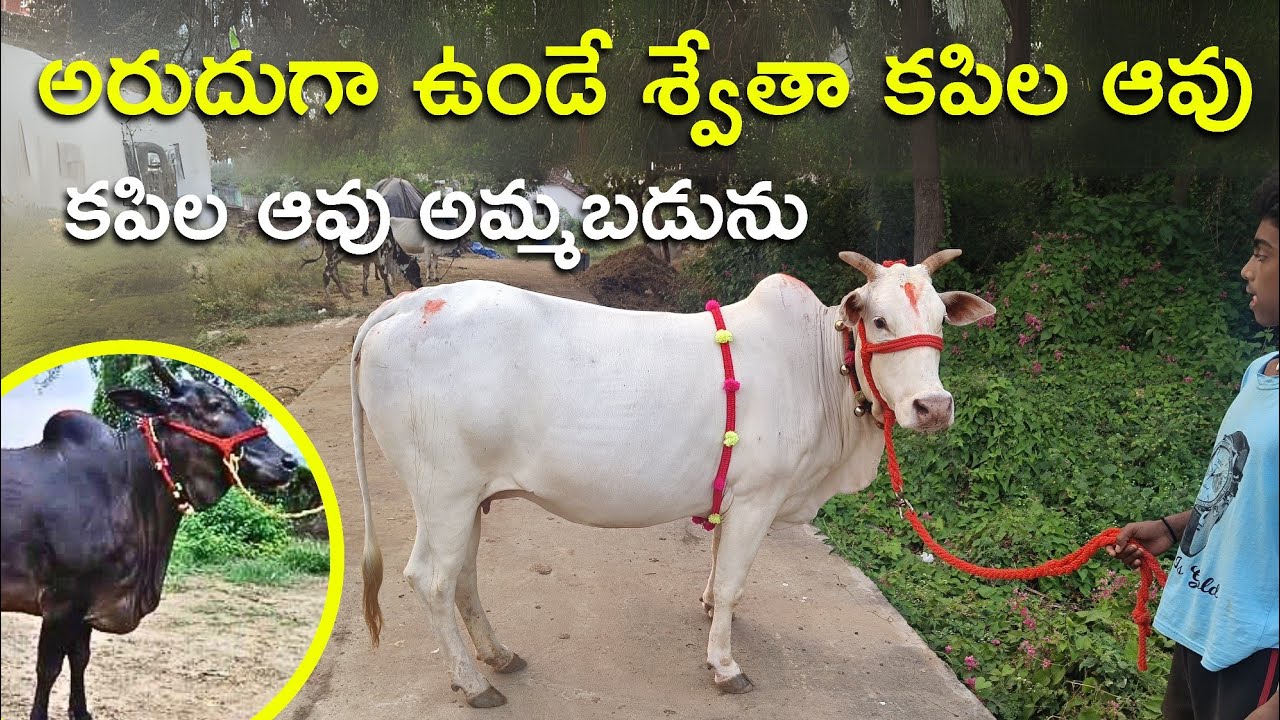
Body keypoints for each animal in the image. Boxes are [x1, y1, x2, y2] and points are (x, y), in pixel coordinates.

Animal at [0, 357, 299, 720]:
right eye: (215, 405)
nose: (289, 462)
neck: (129, 483)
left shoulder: (89, 600)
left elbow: (80, 660)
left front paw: (82, 712)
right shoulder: (61, 602)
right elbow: (49, 669)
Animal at [348, 249, 996, 708]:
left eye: (941, 319)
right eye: (880, 321)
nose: (933, 407)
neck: (817, 368)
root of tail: (410, 303)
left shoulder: (735, 495)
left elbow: (719, 570)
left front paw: (710, 612)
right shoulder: (759, 497)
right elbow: (734, 583)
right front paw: (726, 666)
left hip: (467, 499)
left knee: (463, 578)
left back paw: (498, 656)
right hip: (443, 493)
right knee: (431, 580)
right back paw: (474, 683)